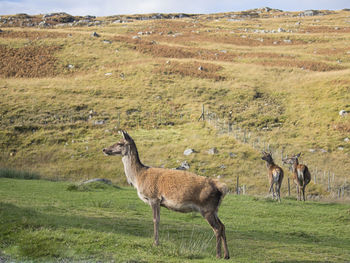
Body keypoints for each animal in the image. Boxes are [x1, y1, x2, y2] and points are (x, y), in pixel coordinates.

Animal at [102, 131, 230, 260]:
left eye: (120, 143)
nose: (104, 149)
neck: (138, 177)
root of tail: (222, 188)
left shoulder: (154, 197)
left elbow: (156, 220)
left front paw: (155, 243)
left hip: (206, 208)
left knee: (217, 228)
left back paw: (218, 254)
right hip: (214, 209)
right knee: (223, 226)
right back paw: (226, 255)